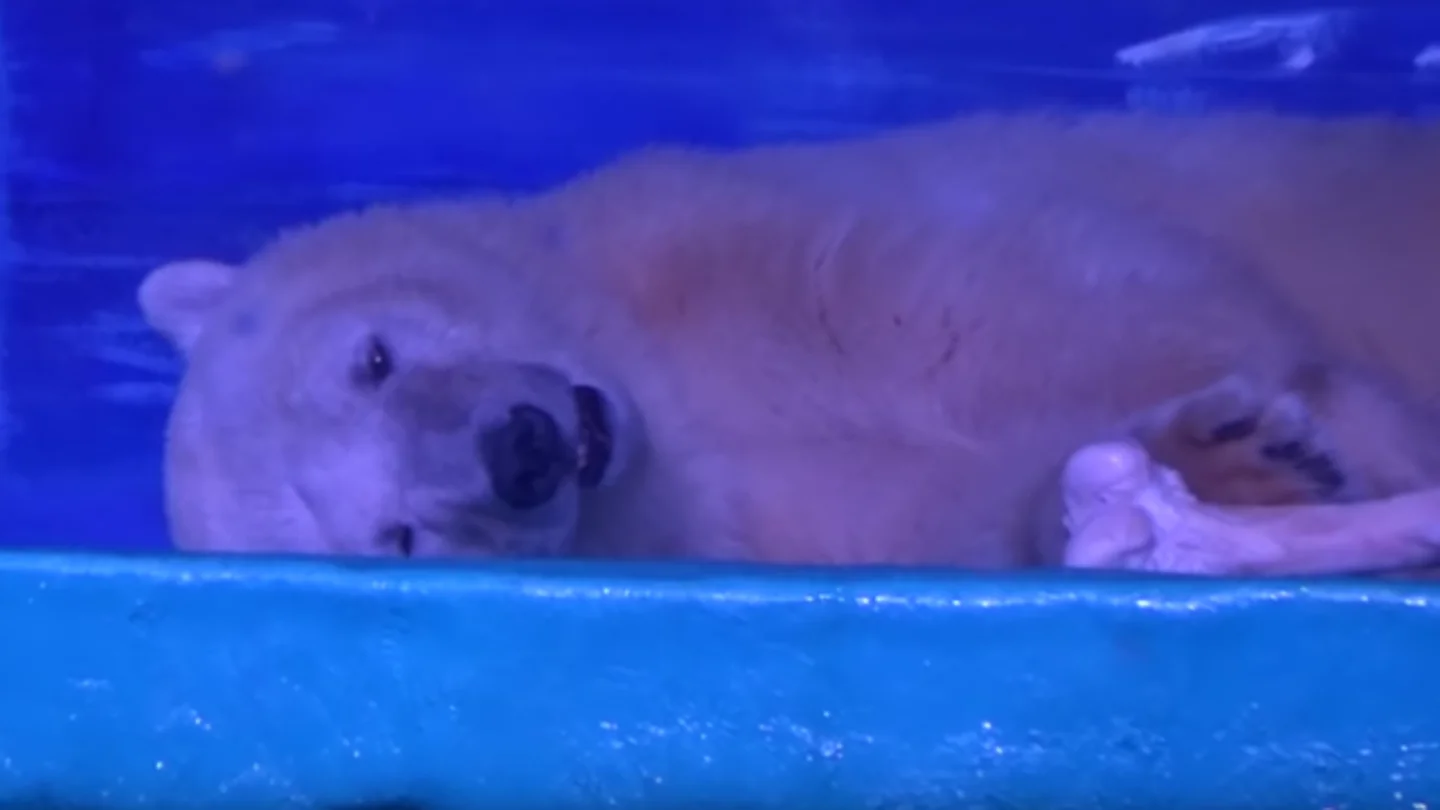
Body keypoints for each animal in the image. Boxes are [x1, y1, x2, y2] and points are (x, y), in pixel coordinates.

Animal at [137, 111, 1440, 575]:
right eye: (397, 536)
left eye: (373, 359)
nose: (524, 452)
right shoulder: (783, 527)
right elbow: (966, 515)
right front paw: (1233, 468)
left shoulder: (753, 245)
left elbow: (1085, 303)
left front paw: (1273, 443)